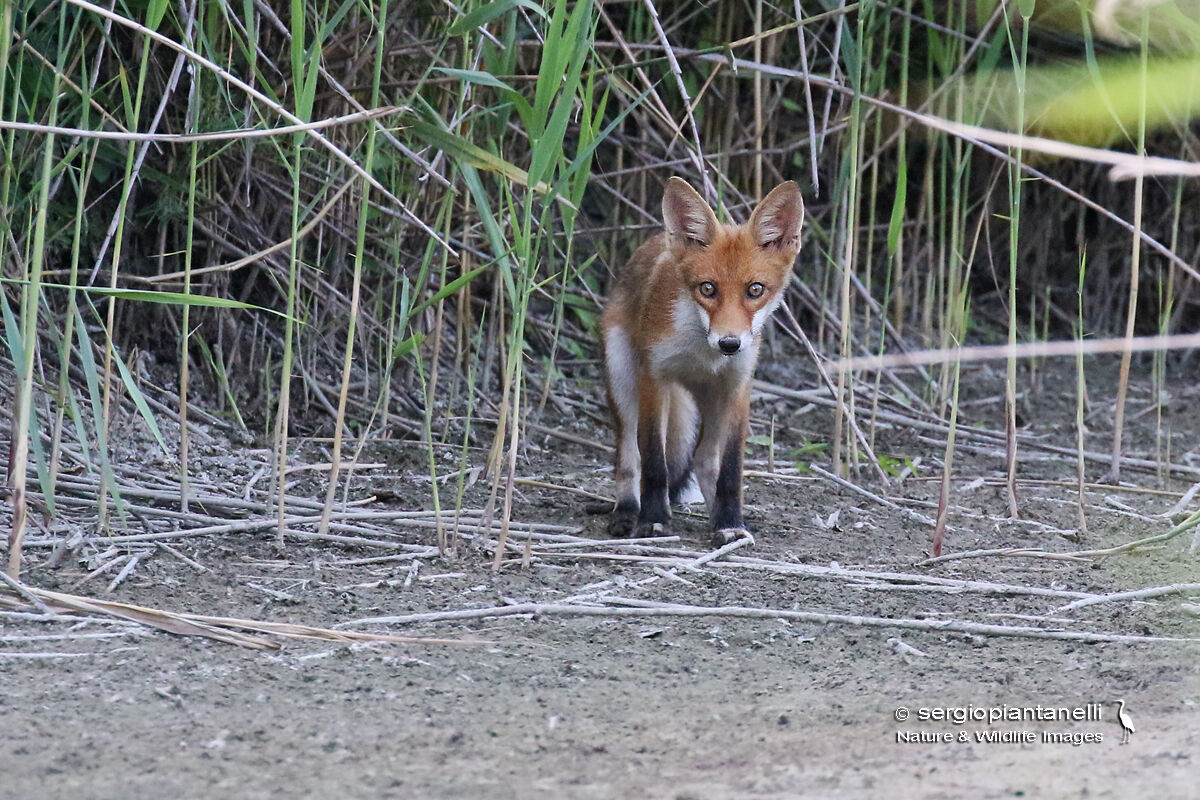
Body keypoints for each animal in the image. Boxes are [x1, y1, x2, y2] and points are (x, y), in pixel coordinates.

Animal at [602, 177, 805, 546]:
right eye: (707, 289)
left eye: (755, 290)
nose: (729, 343)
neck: (701, 355)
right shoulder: (654, 379)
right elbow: (654, 462)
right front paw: (654, 520)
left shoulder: (737, 385)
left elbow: (730, 469)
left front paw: (730, 522)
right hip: (622, 377)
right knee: (629, 457)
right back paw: (626, 512)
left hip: (711, 399)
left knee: (704, 459)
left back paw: (721, 517)